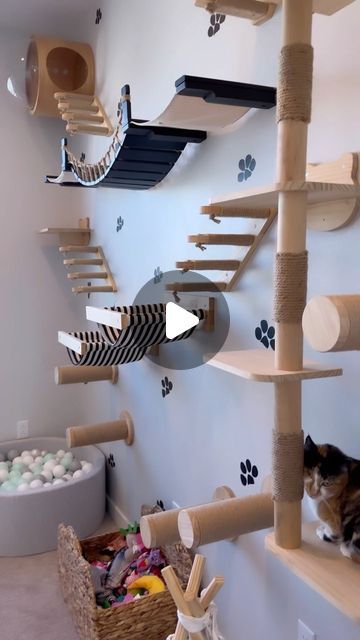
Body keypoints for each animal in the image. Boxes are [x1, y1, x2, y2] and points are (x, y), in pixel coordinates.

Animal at [304, 432, 360, 564]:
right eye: (309, 475)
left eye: (326, 483)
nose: (312, 493)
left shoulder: (335, 520)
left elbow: (333, 534)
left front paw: (321, 530)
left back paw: (346, 550)